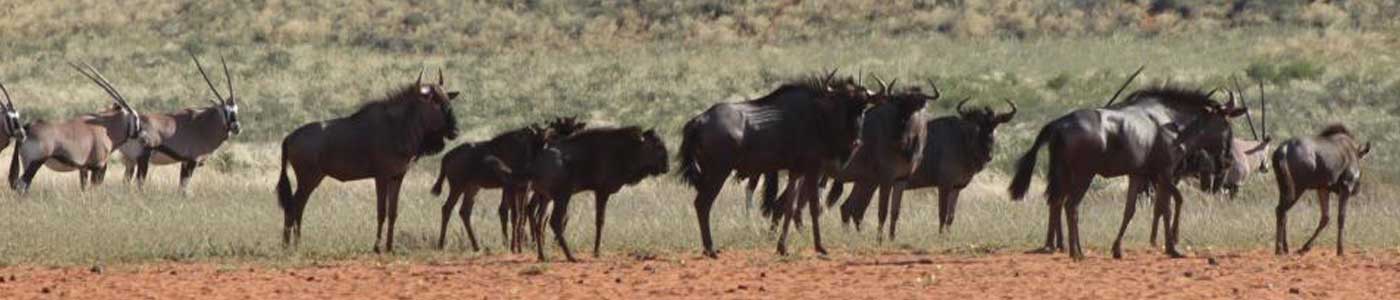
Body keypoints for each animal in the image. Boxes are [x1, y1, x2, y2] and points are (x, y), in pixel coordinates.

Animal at [10, 63, 156, 193]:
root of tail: (27, 128)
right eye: (136, 118)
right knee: (21, 185)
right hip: (35, 163)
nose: (146, 139)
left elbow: (84, 188)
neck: (106, 128)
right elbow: (93, 189)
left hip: (27, 163)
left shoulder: (83, 168)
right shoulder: (98, 166)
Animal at [120, 53, 243, 192]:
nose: (236, 127)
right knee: (139, 184)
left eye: (236, 109)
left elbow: (181, 188)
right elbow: (183, 189)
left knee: (126, 182)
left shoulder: (184, 163)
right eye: (224, 111)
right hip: (142, 160)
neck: (203, 125)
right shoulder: (191, 161)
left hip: (130, 161)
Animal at [529, 126, 672, 262]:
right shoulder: (602, 192)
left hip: (545, 198)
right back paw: (570, 256)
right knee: (554, 221)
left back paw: (542, 255)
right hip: (562, 197)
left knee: (539, 221)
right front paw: (596, 251)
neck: (627, 150)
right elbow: (600, 221)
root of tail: (538, 163)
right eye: (658, 146)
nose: (667, 167)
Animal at [1276, 123, 1372, 255]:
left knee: (1283, 212)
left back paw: (1285, 248)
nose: (1357, 188)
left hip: (1284, 187)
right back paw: (1279, 249)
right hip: (1298, 188)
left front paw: (1305, 247)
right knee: (1282, 210)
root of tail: (1283, 149)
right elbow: (1341, 217)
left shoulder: (1323, 189)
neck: (1352, 151)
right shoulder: (1346, 187)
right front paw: (1340, 250)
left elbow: (1325, 217)